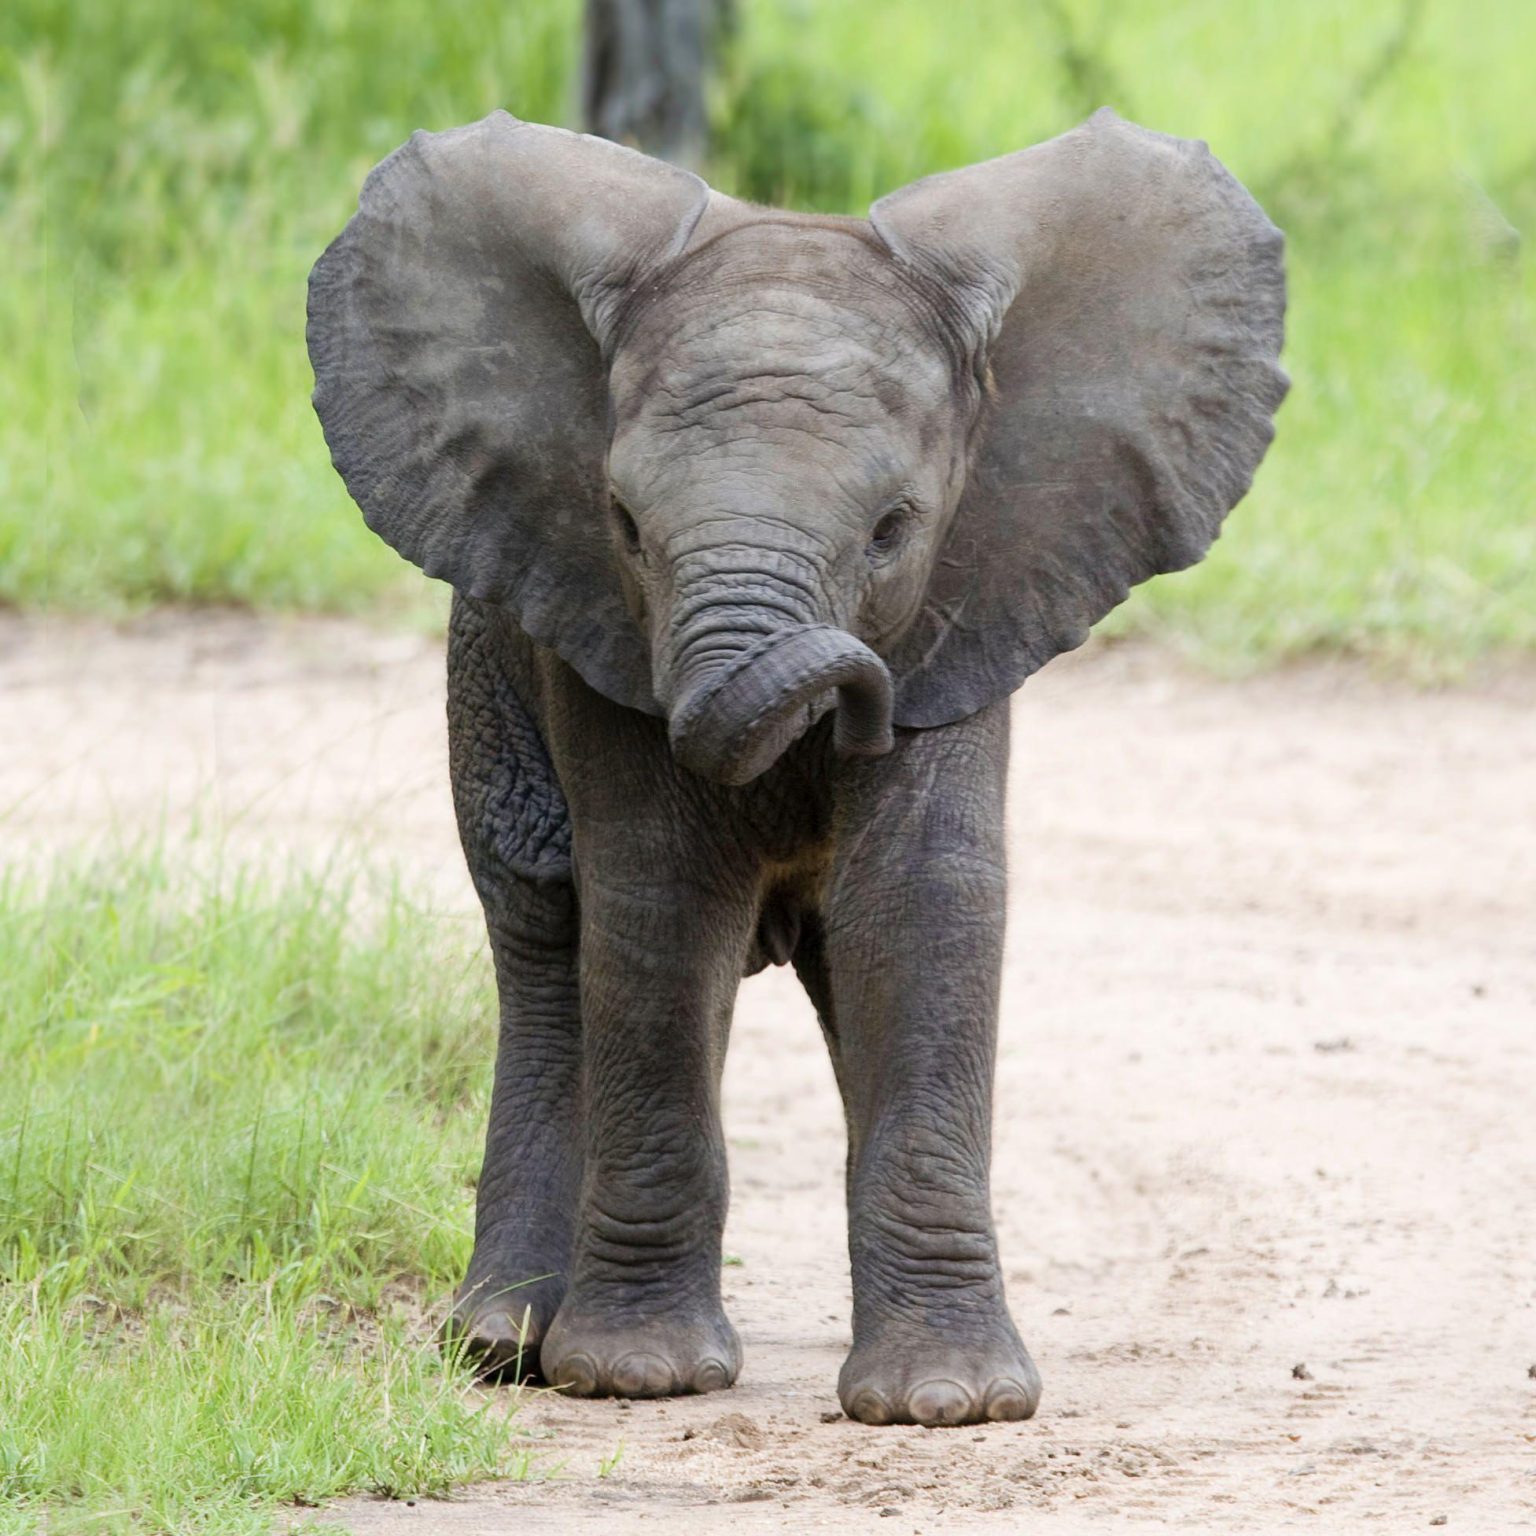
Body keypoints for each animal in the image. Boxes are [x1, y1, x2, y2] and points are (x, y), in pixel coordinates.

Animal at [306, 107, 1286, 1427]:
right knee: (549, 943)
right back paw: (505, 1342)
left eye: (893, 528)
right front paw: (637, 1378)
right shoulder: (597, 632)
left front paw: (946, 1404)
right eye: (624, 523)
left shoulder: (972, 601)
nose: (847, 700)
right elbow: (658, 907)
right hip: (487, 682)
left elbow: (920, 907)